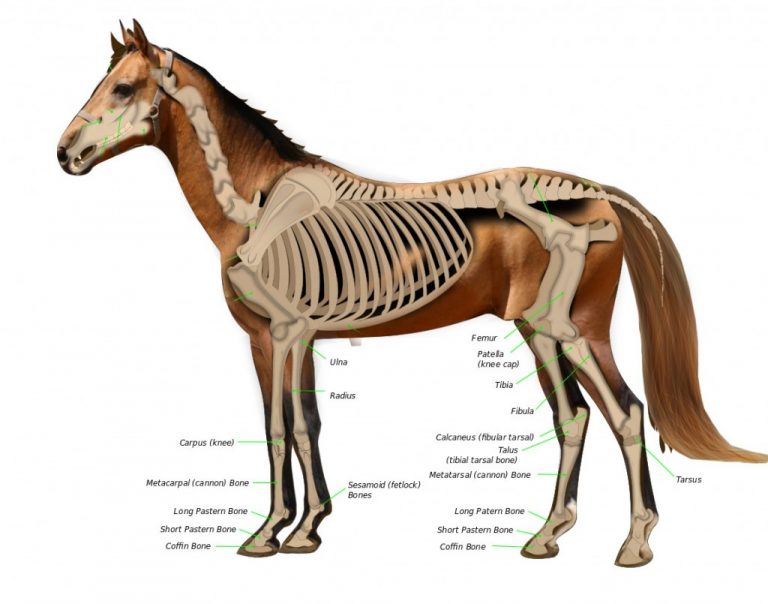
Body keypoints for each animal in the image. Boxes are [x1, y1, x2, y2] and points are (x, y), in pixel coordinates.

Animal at [56, 20, 766, 568]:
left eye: (123, 87)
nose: (64, 153)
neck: (255, 203)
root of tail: (600, 195)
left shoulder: (278, 335)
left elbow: (282, 427)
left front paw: (271, 534)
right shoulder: (294, 338)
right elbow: (302, 424)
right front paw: (305, 529)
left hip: (570, 327)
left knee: (624, 413)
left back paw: (634, 546)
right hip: (542, 331)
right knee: (576, 418)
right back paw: (547, 537)